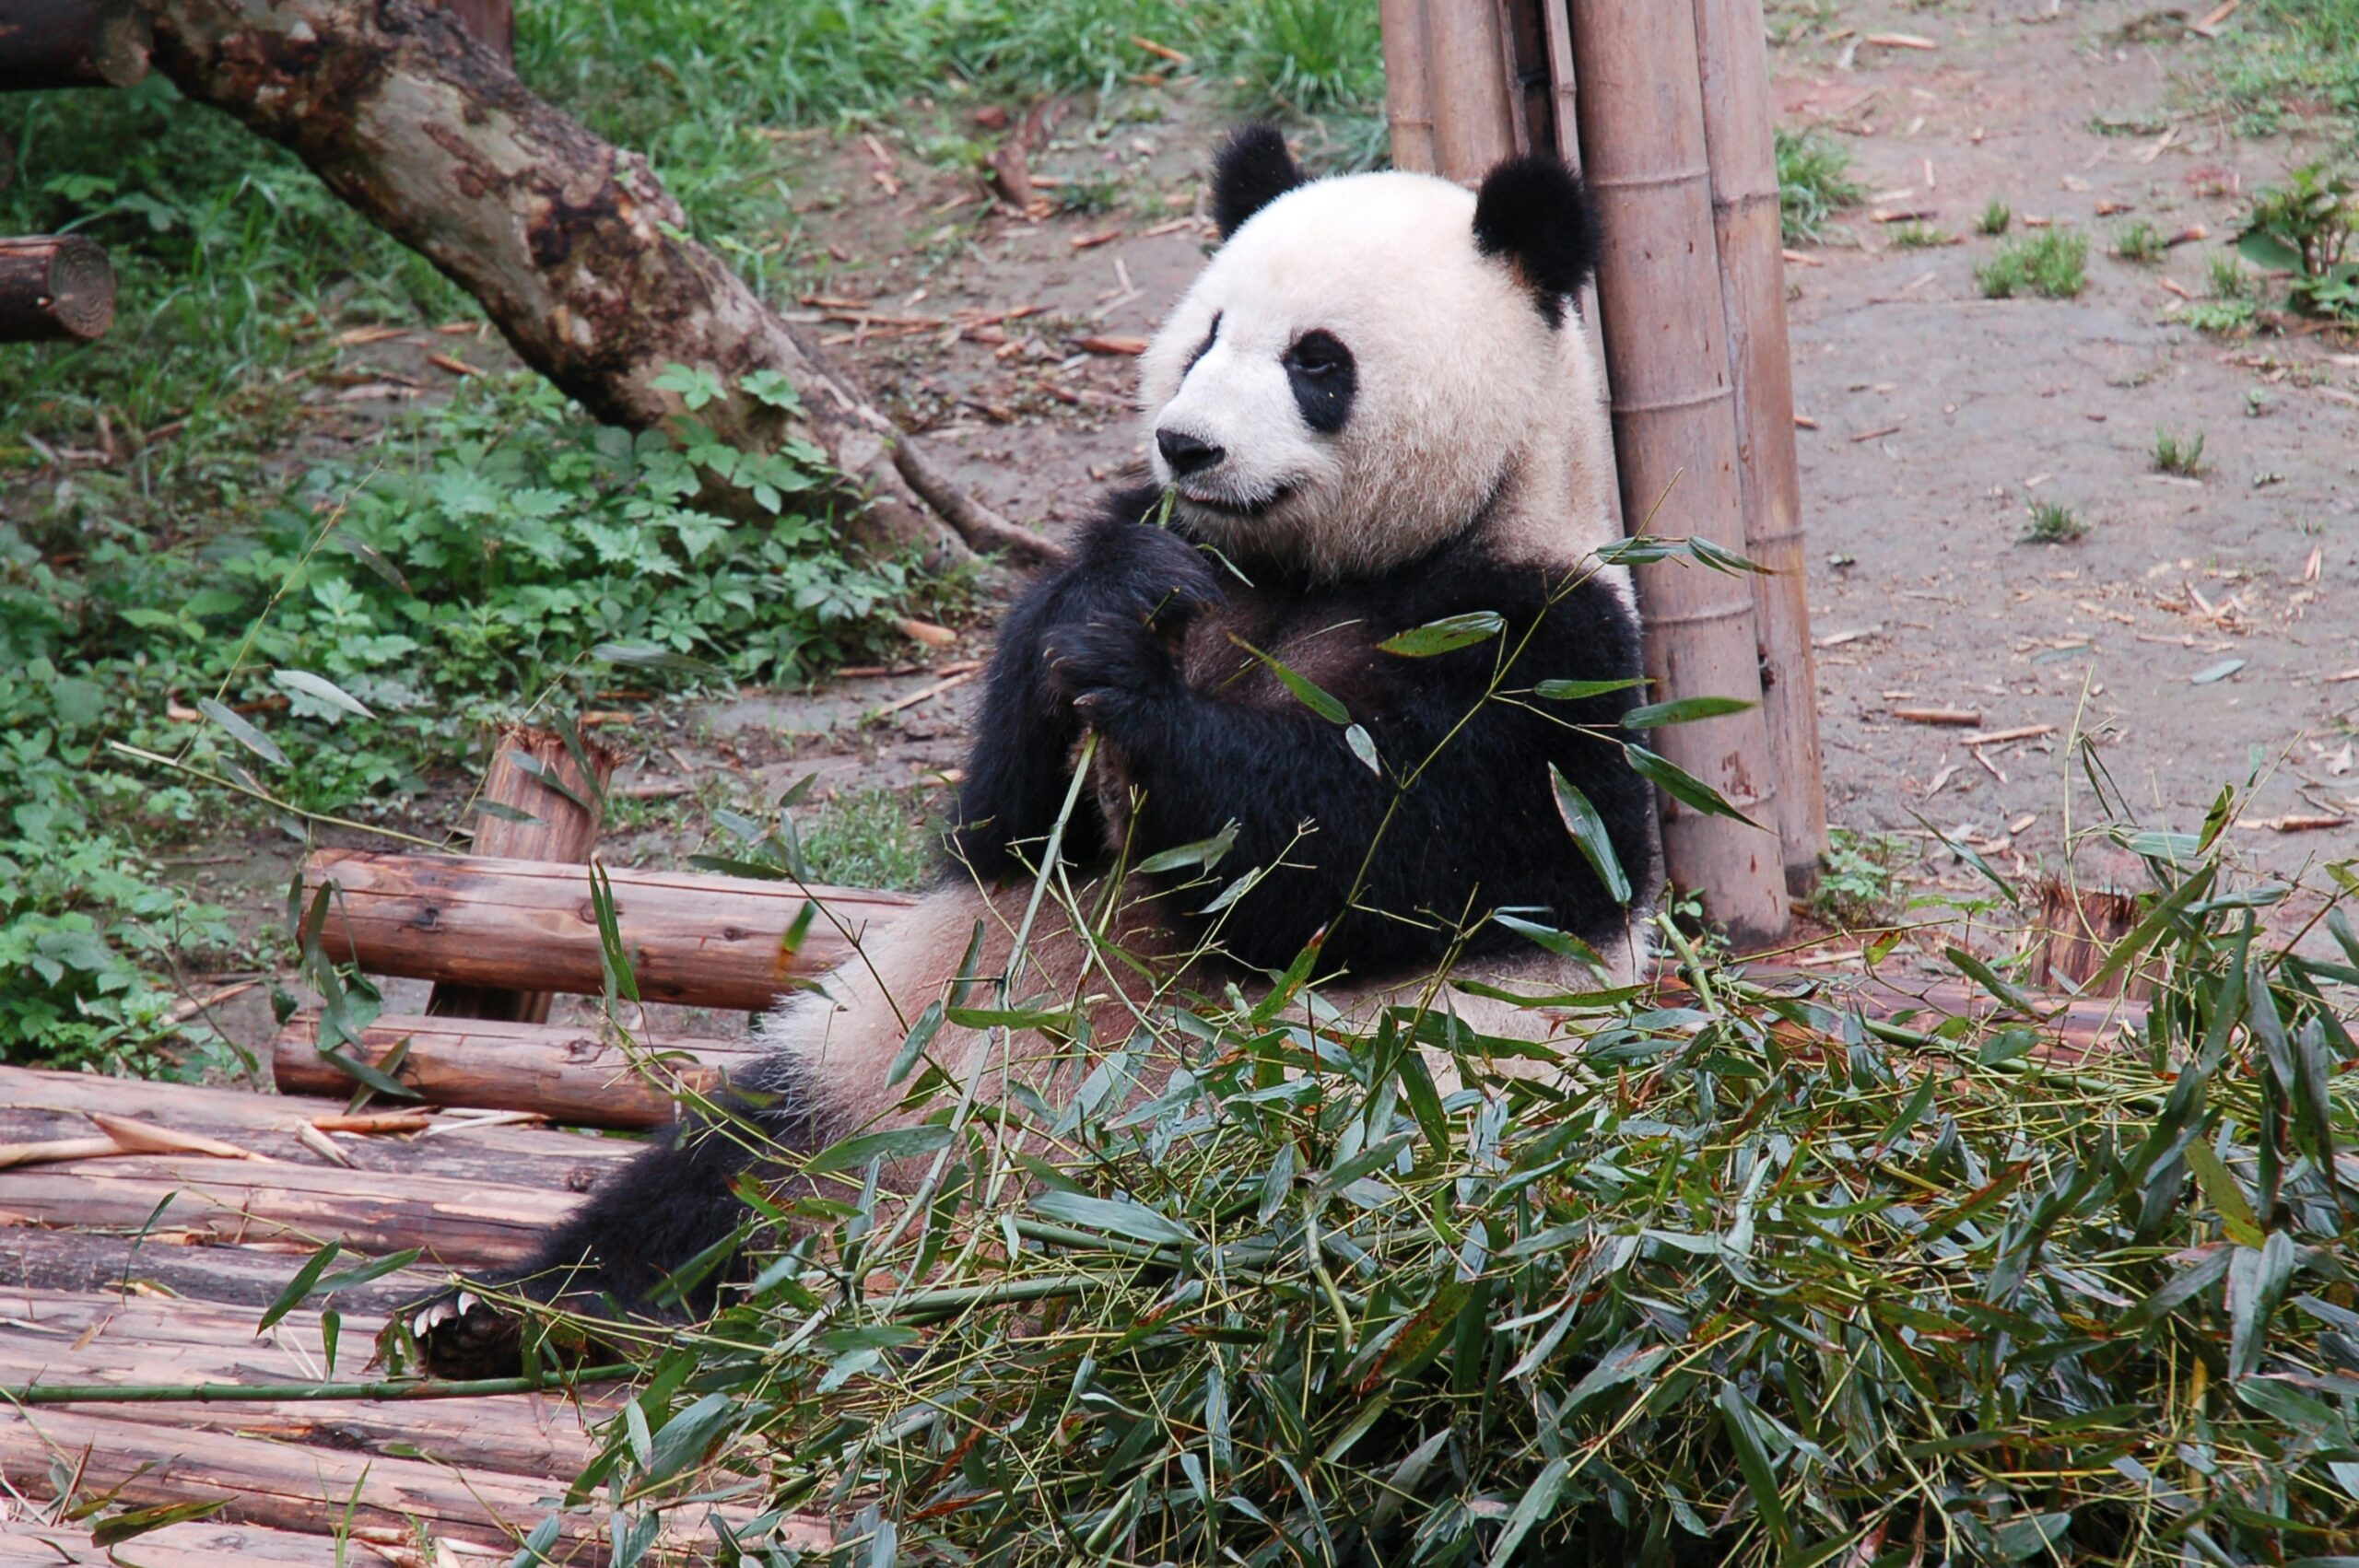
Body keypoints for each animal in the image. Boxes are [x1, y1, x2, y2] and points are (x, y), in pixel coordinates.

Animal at [410, 125, 1661, 1367]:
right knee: (730, 1169)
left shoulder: (1541, 649)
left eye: (1318, 362)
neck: (1316, 573)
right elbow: (1006, 824)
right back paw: (504, 1313)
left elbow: (1369, 857)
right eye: (1207, 333)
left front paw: (1145, 700)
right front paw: (1108, 612)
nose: (1187, 445)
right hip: (875, 1070)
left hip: (1323, 1154)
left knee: (1221, 1248)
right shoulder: (1175, 555)